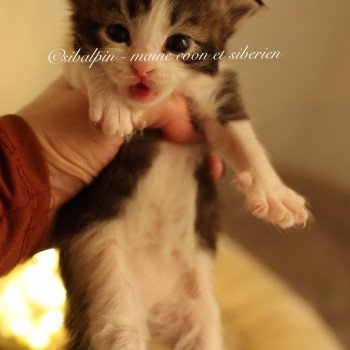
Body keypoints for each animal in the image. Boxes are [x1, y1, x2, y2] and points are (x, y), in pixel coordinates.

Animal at [56, 0, 310, 348]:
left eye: (179, 43)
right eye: (116, 33)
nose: (142, 68)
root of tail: (153, 300)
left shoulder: (216, 96)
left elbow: (243, 140)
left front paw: (274, 195)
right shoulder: (66, 77)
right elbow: (80, 66)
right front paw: (111, 99)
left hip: (196, 309)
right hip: (105, 287)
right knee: (118, 330)